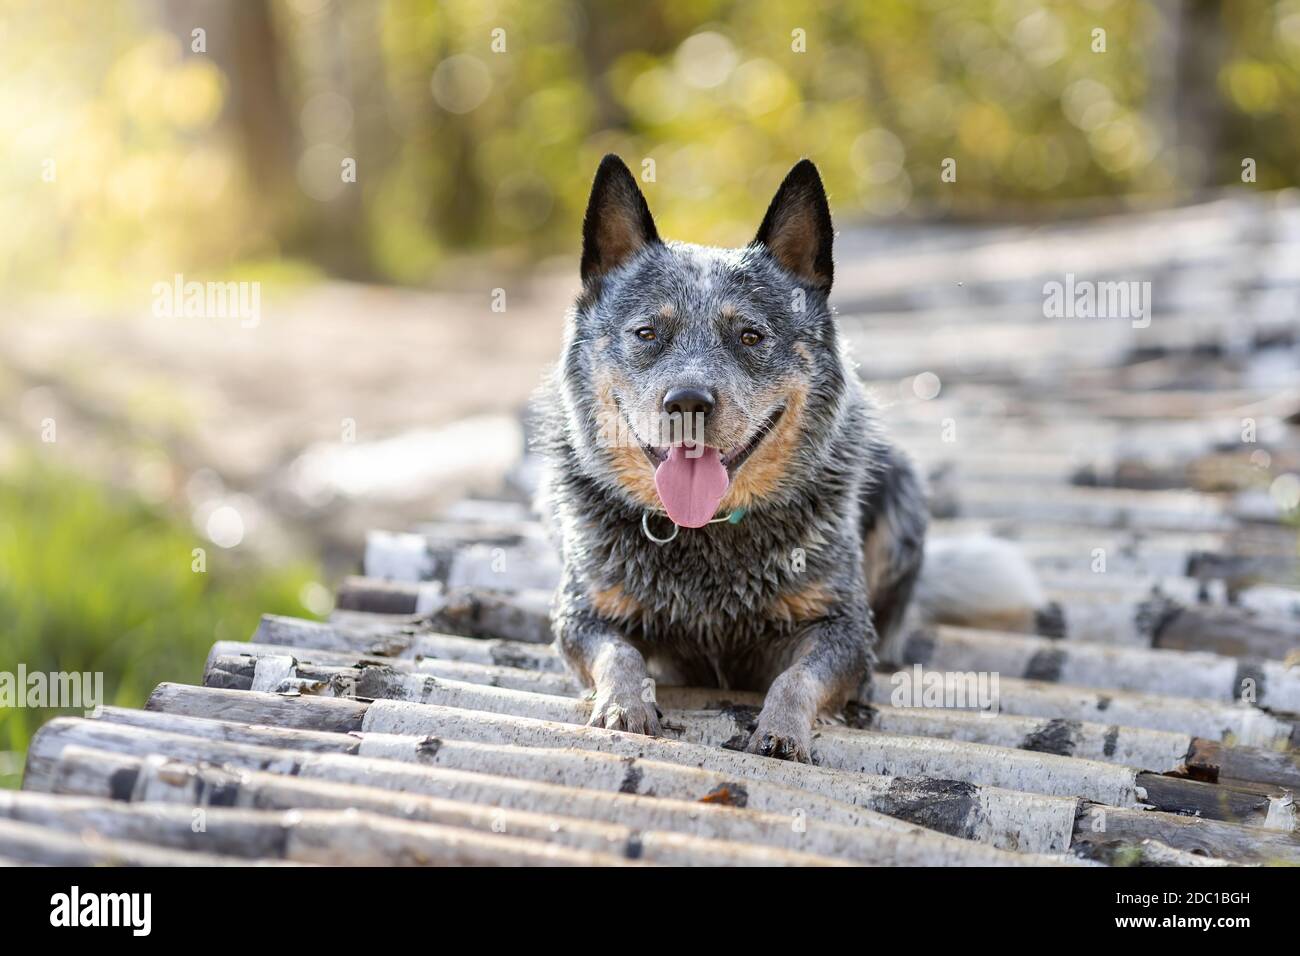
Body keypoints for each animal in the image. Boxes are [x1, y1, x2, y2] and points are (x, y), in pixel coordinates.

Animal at [530, 158, 1034, 770]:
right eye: (647, 333)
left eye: (750, 336)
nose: (688, 401)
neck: (706, 537)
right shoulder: (582, 615)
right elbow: (618, 655)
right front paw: (623, 704)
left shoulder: (842, 628)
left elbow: (797, 679)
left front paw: (783, 730)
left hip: (903, 489)